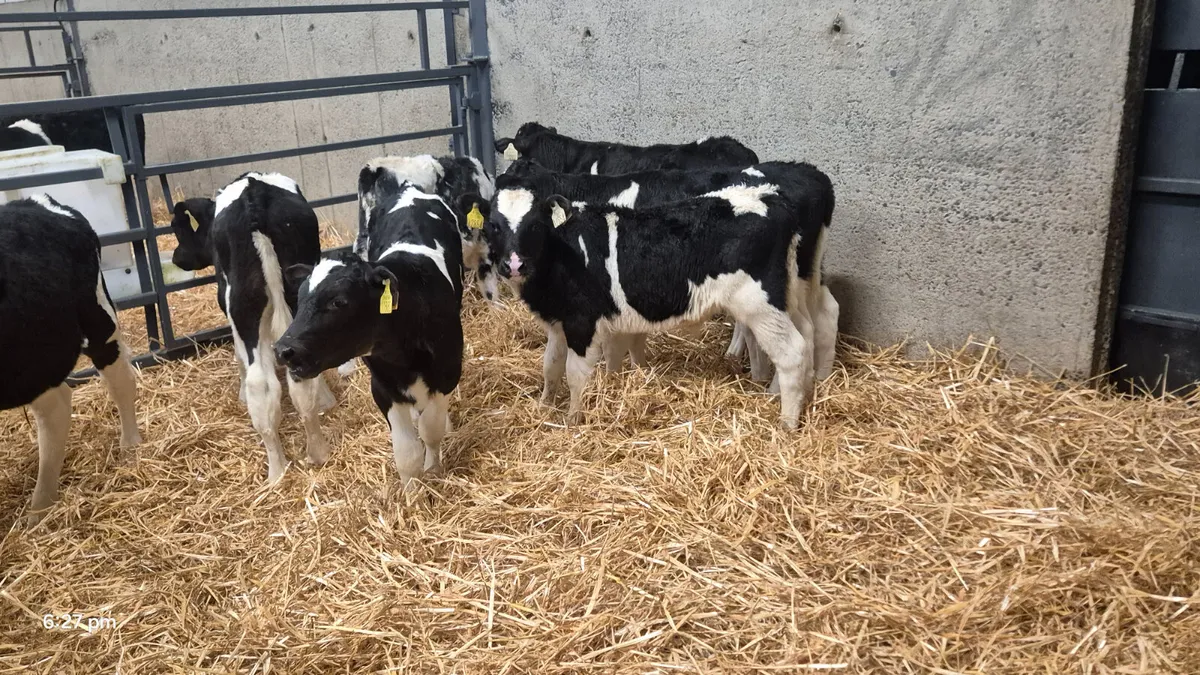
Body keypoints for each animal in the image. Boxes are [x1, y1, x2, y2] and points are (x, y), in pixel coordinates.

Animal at [169, 172, 334, 482]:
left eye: (182, 230)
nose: (176, 258)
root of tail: (255, 194)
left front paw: (241, 393)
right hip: (300, 291)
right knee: (301, 379)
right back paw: (317, 453)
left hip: (242, 304)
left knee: (261, 383)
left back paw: (276, 472)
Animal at [275, 172, 464, 491]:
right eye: (299, 299)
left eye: (339, 301)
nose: (283, 349)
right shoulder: (383, 387)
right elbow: (406, 452)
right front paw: (412, 493)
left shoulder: (447, 372)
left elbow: (431, 429)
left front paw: (434, 468)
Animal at [467, 166, 832, 430]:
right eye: (494, 225)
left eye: (535, 224)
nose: (514, 264)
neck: (564, 252)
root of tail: (770, 196)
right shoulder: (560, 321)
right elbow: (551, 366)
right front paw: (545, 405)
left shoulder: (582, 321)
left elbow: (575, 374)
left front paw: (572, 420)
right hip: (791, 293)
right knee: (809, 331)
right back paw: (795, 392)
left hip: (760, 303)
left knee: (793, 350)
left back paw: (787, 422)